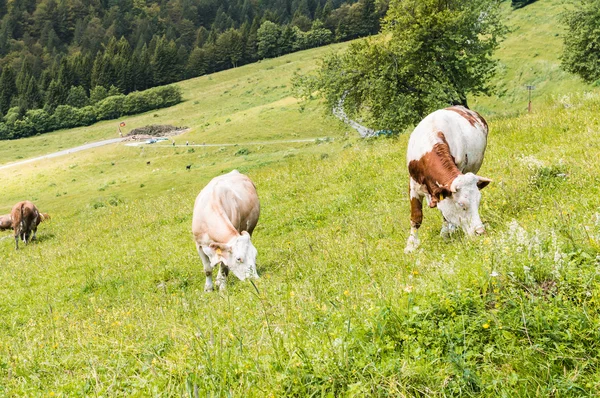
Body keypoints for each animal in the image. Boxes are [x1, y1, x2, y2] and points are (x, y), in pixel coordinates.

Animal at [404, 105, 492, 253]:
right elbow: (416, 216)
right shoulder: (414, 185)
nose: (480, 232)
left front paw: (445, 234)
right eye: (461, 204)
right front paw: (411, 245)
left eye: (478, 202)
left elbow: (445, 215)